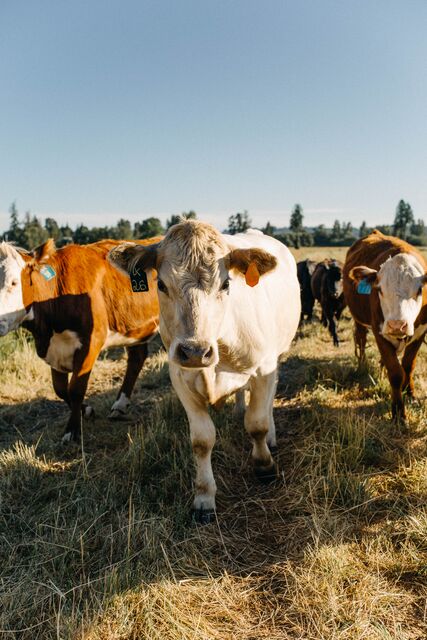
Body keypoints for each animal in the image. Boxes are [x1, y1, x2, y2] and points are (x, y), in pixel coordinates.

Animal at [0, 238, 160, 442]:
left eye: (13, 282)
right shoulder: (55, 350)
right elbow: (60, 389)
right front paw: (87, 411)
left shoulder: (90, 343)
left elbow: (75, 389)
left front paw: (72, 430)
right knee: (137, 358)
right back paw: (120, 405)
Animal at [108, 219, 300, 520]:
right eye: (161, 284)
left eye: (226, 283)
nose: (195, 351)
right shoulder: (180, 378)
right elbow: (202, 440)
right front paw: (204, 497)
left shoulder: (264, 368)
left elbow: (256, 424)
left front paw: (264, 465)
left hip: (277, 356)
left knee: (268, 401)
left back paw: (271, 436)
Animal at [342, 228, 427, 422]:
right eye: (379, 289)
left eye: (419, 289)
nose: (397, 325)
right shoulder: (379, 332)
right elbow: (395, 373)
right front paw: (398, 413)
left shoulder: (421, 333)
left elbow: (408, 366)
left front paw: (410, 394)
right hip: (359, 320)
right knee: (361, 341)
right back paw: (362, 366)